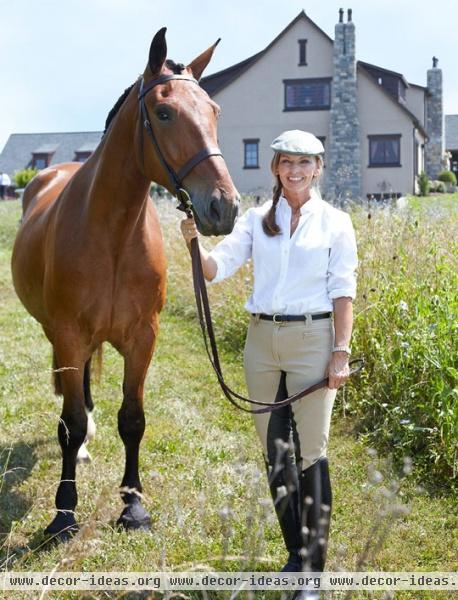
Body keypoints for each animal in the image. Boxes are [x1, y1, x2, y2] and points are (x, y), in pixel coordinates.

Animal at [10, 28, 240, 540]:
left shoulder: (142, 338)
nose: (225, 207)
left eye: (215, 111)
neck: (113, 235)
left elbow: (132, 419)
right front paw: (63, 513)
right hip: (58, 335)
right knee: (73, 399)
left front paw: (133, 505)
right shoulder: (70, 335)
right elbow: (71, 423)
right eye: (164, 112)